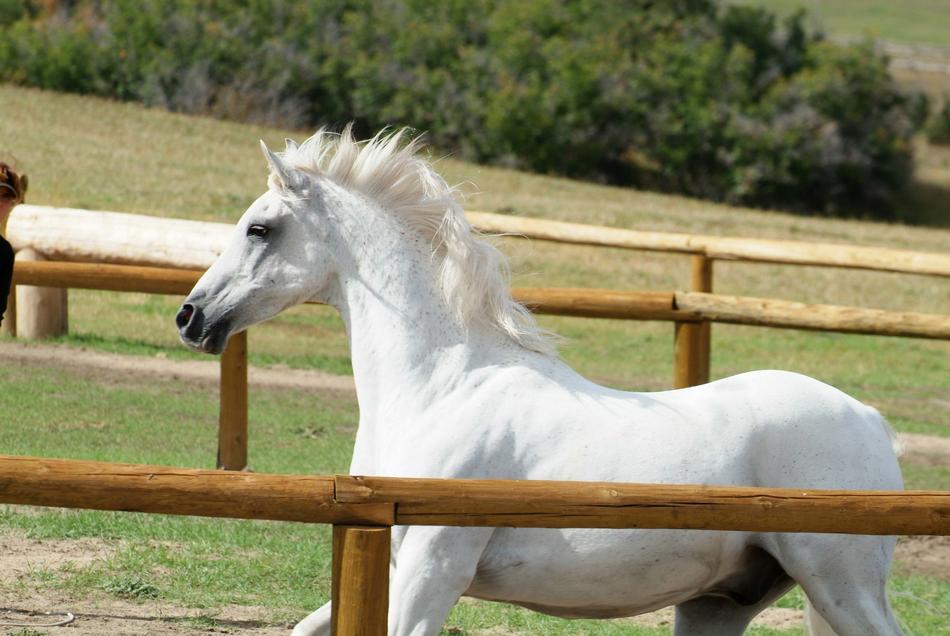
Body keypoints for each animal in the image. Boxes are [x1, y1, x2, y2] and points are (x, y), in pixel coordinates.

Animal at [176, 127, 904, 636]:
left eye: (259, 228)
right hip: (720, 603)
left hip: (840, 584)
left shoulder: (433, 570)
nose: (191, 317)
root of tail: (872, 421)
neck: (439, 389)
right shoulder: (392, 562)